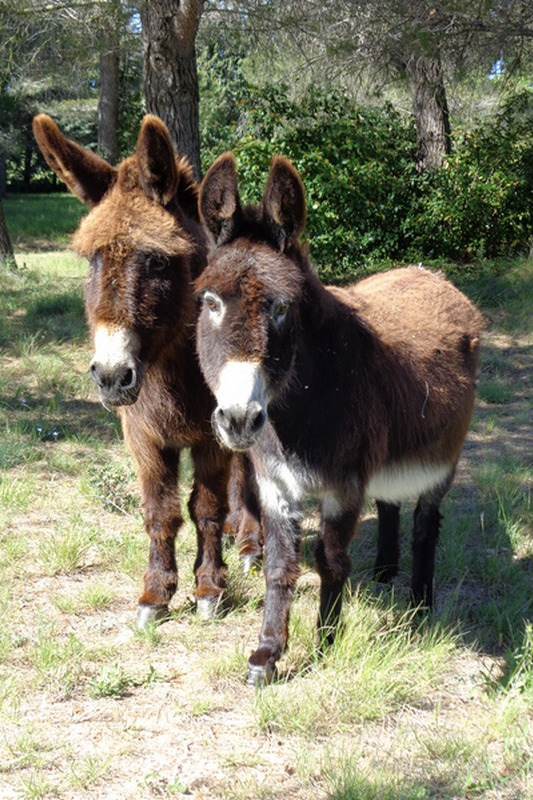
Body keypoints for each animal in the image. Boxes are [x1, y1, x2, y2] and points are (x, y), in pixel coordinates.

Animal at [32, 115, 261, 626]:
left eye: (156, 261)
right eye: (92, 260)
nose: (111, 376)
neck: (173, 372)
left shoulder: (212, 435)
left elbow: (206, 507)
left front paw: (209, 587)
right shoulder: (142, 434)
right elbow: (161, 512)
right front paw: (155, 593)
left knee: (246, 473)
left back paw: (251, 542)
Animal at [194, 152, 483, 685]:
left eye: (282, 307)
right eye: (210, 302)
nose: (240, 419)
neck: (295, 410)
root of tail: (430, 274)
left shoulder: (344, 487)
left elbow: (329, 562)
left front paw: (326, 643)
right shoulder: (275, 484)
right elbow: (279, 567)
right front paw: (267, 654)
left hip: (444, 460)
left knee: (425, 522)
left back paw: (419, 607)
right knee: (390, 500)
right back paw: (386, 571)